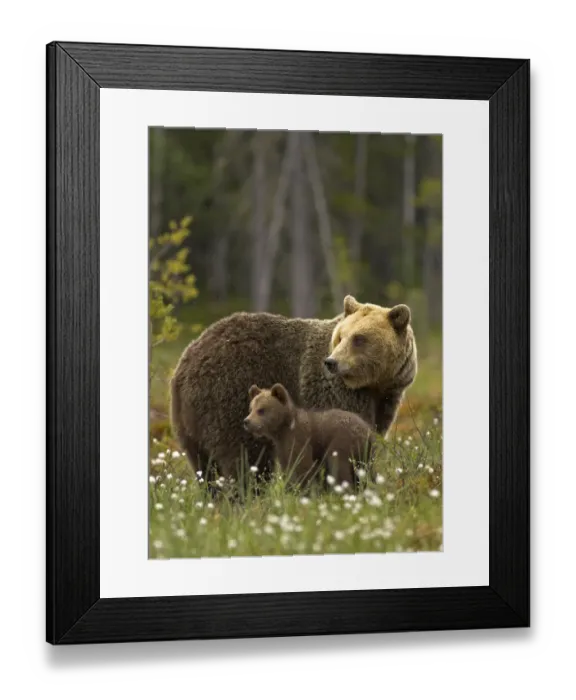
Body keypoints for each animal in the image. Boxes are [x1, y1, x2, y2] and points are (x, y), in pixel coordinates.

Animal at [243, 383, 377, 489]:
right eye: (251, 409)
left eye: (261, 410)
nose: (246, 421)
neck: (282, 430)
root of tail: (367, 430)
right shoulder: (282, 448)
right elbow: (287, 469)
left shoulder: (299, 439)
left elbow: (303, 467)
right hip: (365, 453)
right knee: (367, 472)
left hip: (343, 441)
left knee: (338, 467)